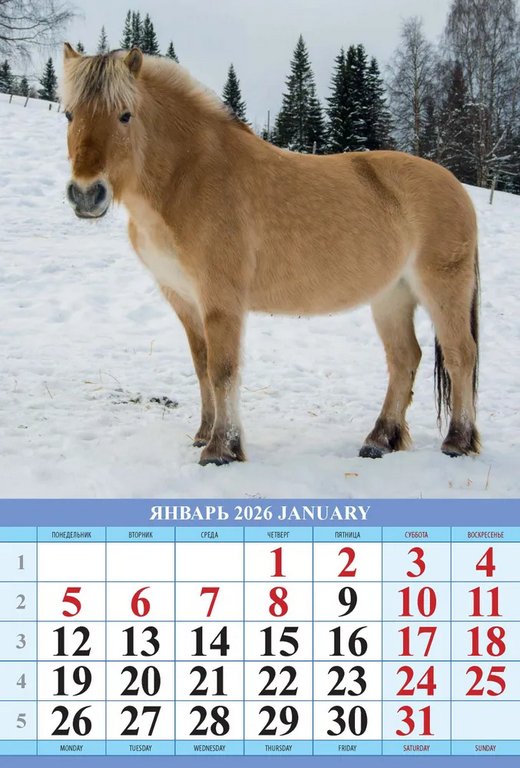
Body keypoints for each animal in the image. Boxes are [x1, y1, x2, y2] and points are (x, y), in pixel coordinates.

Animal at [62, 44, 480, 466]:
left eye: (125, 114)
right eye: (69, 114)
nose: (86, 194)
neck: (191, 177)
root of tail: (456, 186)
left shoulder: (221, 300)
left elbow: (223, 370)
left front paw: (221, 449)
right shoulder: (184, 299)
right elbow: (201, 366)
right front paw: (204, 434)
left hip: (442, 288)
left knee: (461, 355)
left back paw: (457, 441)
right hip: (392, 296)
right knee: (404, 359)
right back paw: (379, 439)